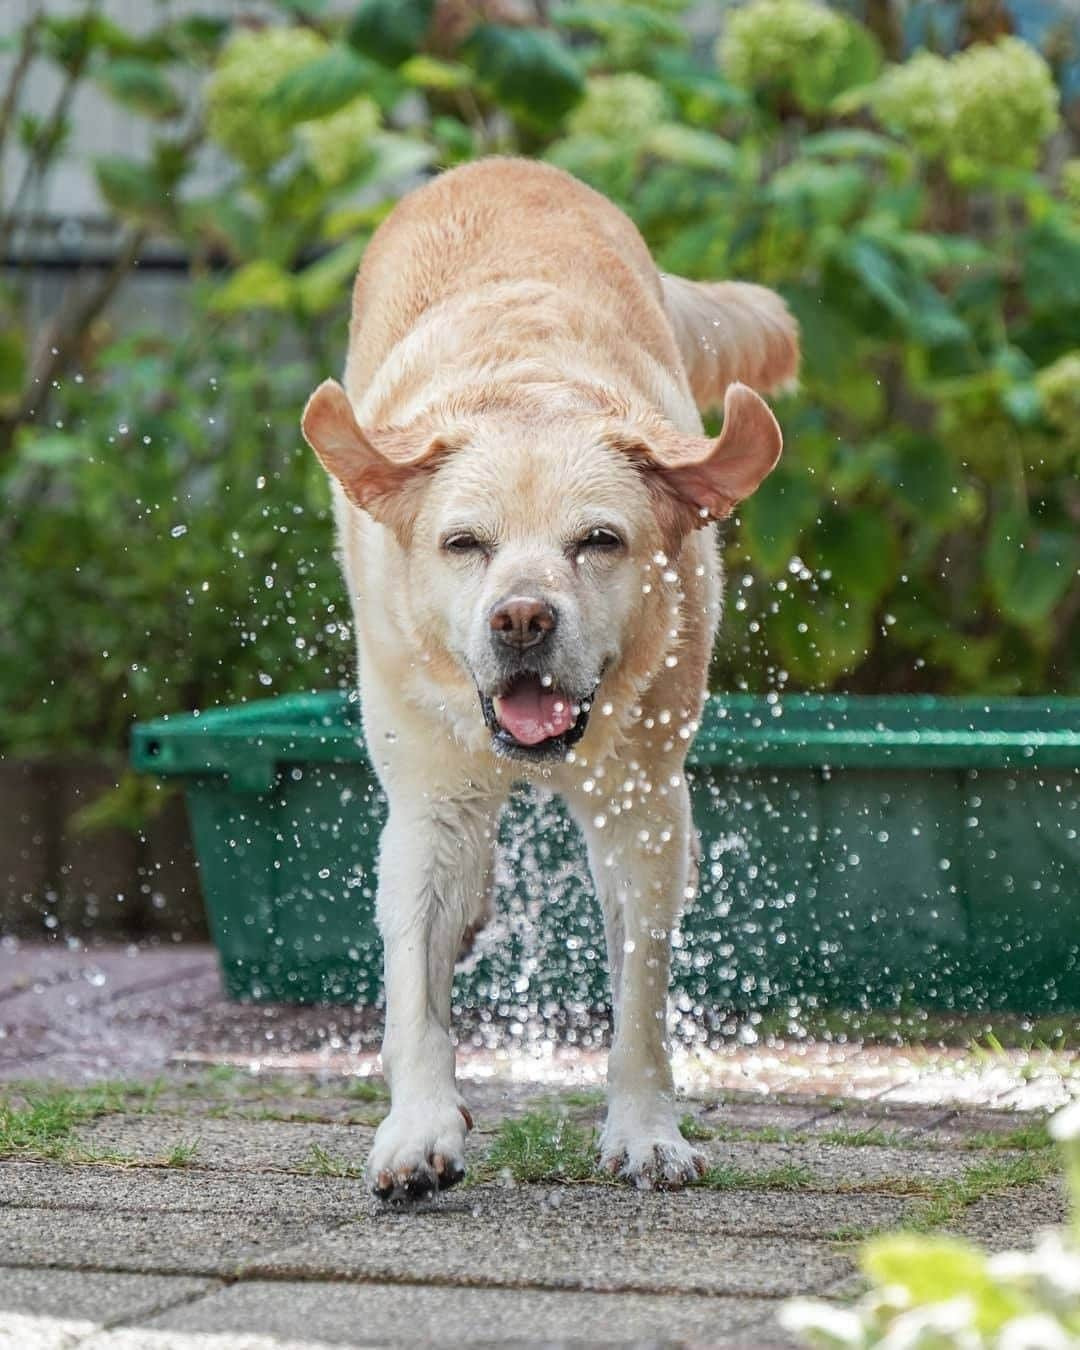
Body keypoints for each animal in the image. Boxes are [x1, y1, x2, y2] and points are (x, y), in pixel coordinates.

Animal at [299, 157, 799, 1204]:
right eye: (464, 544)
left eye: (598, 541)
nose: (522, 620)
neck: (529, 385)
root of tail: (505, 164)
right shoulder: (428, 801)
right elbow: (413, 992)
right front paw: (419, 1129)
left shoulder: (645, 809)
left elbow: (640, 1001)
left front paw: (646, 1133)